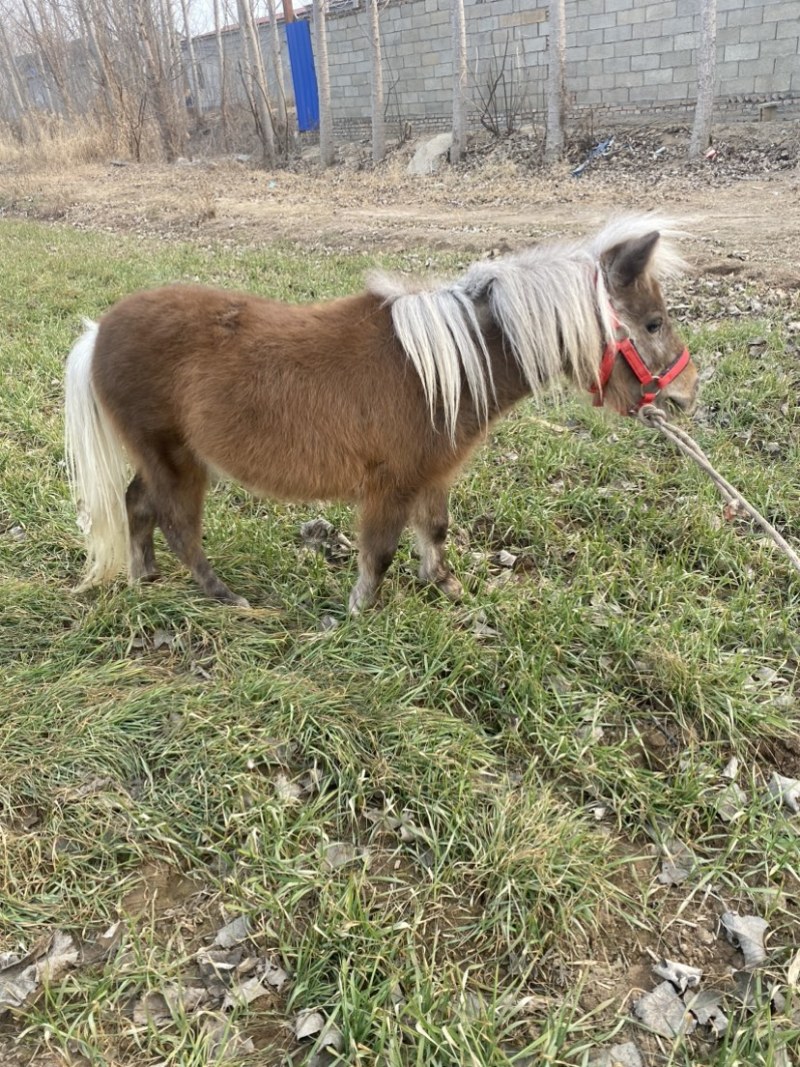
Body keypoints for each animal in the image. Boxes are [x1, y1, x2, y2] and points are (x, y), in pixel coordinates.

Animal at [64, 214, 698, 614]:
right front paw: (359, 611)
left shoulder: (433, 476)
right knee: (177, 524)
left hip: (162, 457)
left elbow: (435, 531)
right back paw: (224, 596)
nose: (687, 394)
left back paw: (143, 577)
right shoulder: (390, 486)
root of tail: (98, 336)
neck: (442, 369)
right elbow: (381, 552)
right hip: (176, 460)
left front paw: (446, 585)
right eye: (653, 323)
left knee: (136, 505)